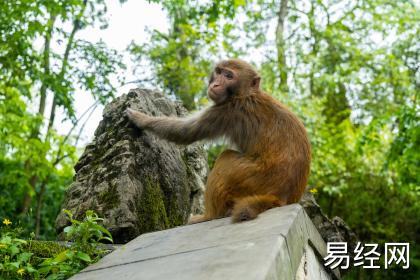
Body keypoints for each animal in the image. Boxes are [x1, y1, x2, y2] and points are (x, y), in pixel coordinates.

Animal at [126, 58, 310, 223]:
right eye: (219, 72)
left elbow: (186, 132)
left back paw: (209, 216)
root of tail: (279, 196)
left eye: (229, 76)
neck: (246, 94)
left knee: (225, 158)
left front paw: (141, 119)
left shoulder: (227, 110)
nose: (215, 85)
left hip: (252, 178)